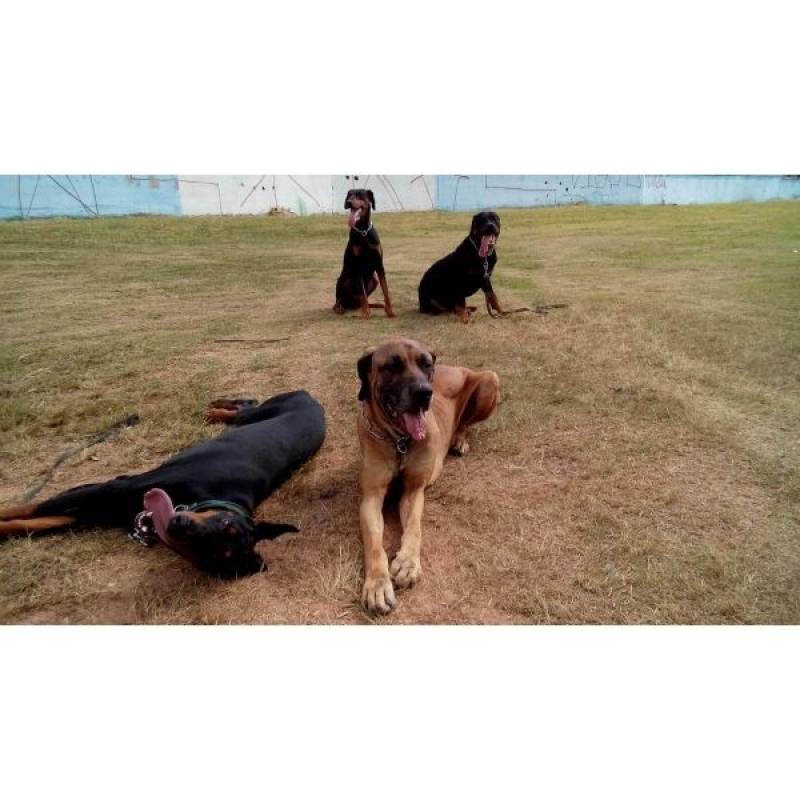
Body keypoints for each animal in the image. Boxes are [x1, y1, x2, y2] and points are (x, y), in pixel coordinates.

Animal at [358, 338, 500, 612]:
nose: (424, 392)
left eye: (426, 364)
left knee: (464, 422)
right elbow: (374, 544)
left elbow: (414, 527)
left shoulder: (414, 490)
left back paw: (459, 440)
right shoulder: (370, 497)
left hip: (490, 379)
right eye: (391, 366)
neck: (399, 442)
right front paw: (378, 583)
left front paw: (408, 562)